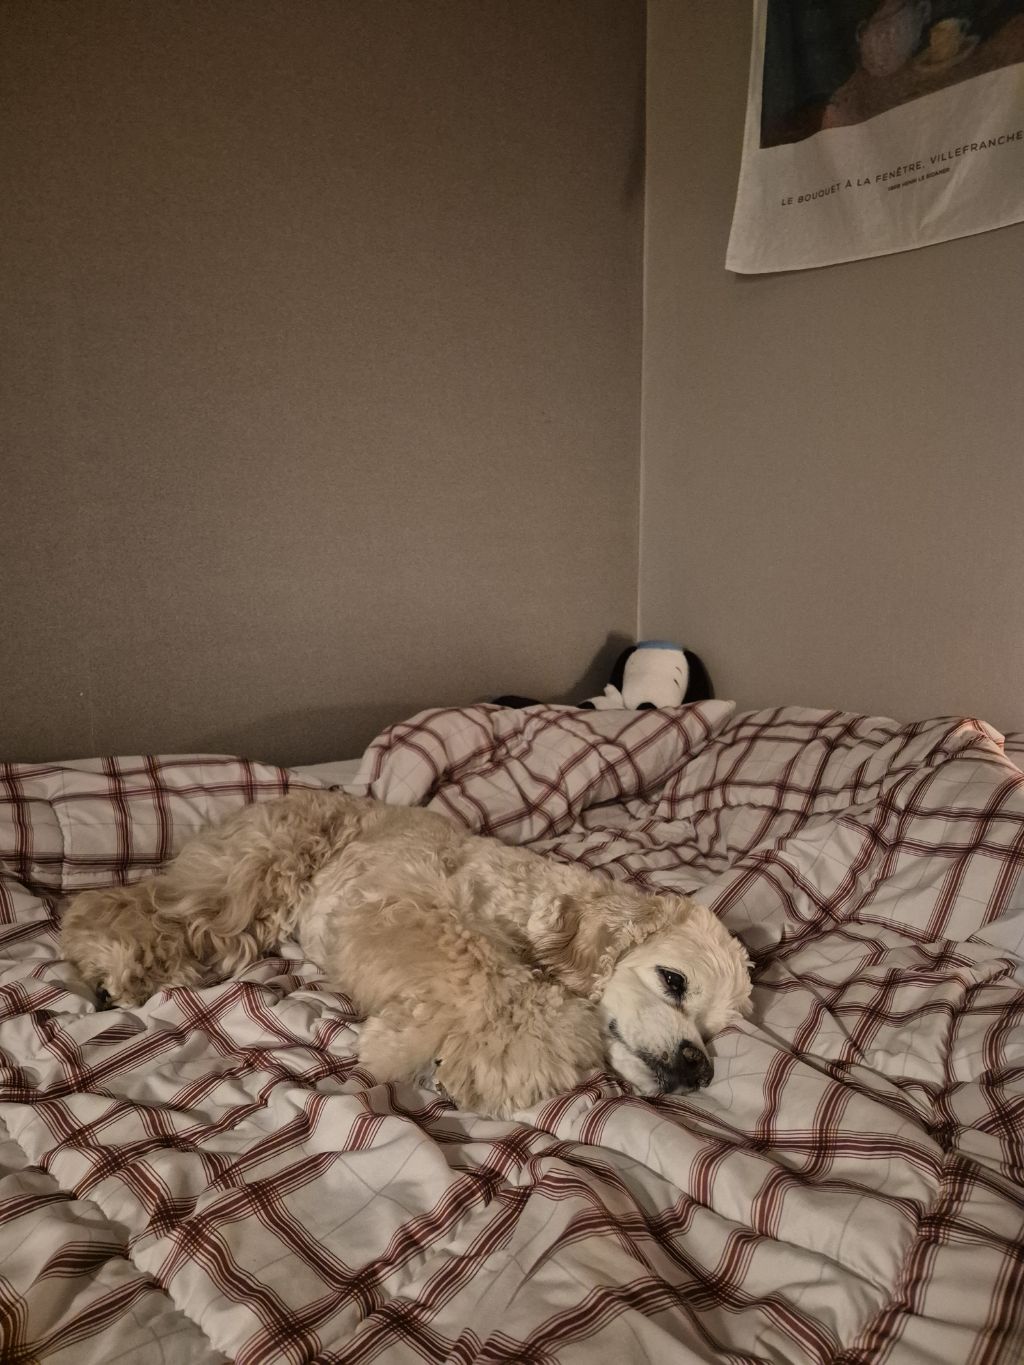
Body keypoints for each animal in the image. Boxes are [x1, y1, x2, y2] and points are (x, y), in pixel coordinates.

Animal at [61, 790, 751, 1117]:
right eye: (673, 980)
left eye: (714, 1032)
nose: (699, 1069)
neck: (531, 905)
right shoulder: (400, 900)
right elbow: (482, 969)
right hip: (250, 876)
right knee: (127, 905)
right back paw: (111, 961)